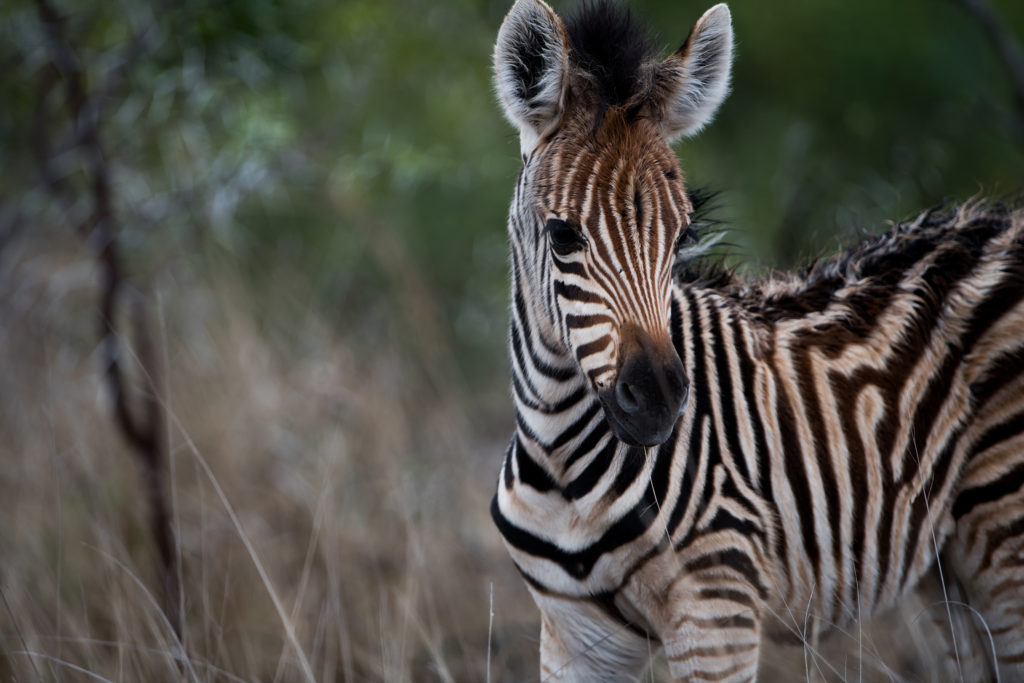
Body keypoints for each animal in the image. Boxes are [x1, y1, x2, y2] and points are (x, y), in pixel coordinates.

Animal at [487, 1, 1024, 683]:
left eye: (682, 234)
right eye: (561, 236)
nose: (659, 401)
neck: (561, 462)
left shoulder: (716, 609)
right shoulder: (574, 633)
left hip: (1004, 534)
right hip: (948, 569)